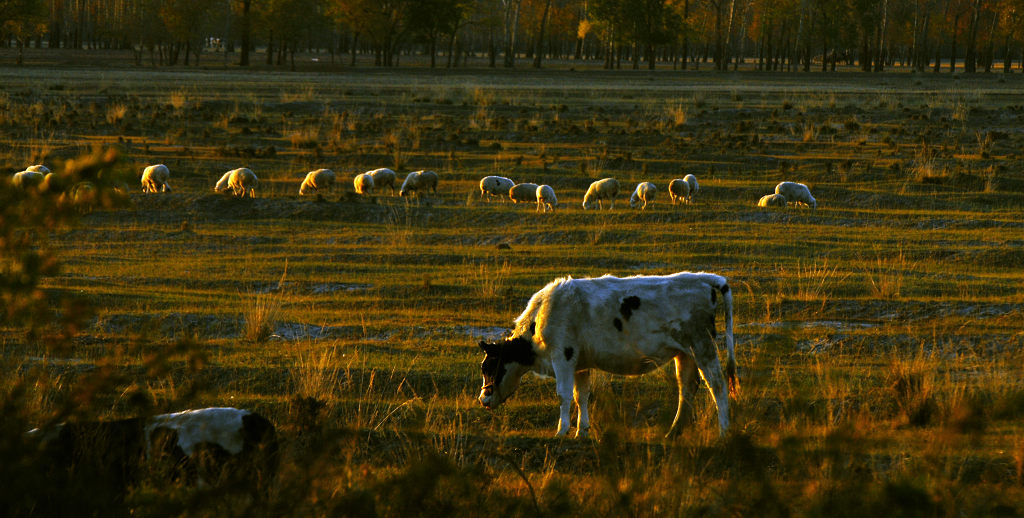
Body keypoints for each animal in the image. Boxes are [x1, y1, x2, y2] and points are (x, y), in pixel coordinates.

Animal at [479, 272, 737, 438]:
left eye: (489, 367)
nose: (482, 399)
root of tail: (701, 278)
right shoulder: (580, 364)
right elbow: (581, 396)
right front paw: (582, 431)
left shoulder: (562, 357)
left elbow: (563, 395)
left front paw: (561, 431)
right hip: (684, 354)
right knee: (687, 388)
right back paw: (674, 431)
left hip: (702, 346)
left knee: (717, 384)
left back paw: (724, 431)